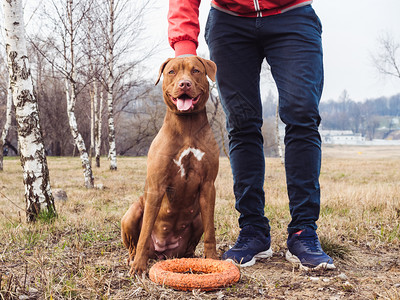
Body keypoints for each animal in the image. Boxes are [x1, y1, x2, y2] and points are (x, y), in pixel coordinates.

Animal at [122, 55, 219, 276]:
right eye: (172, 72)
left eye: (196, 71)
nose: (185, 84)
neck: (187, 126)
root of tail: (161, 253)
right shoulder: (156, 187)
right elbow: (145, 231)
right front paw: (138, 267)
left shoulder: (208, 186)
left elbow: (211, 231)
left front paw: (212, 259)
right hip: (132, 213)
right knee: (134, 243)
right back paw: (133, 259)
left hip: (198, 217)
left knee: (194, 238)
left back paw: (190, 258)